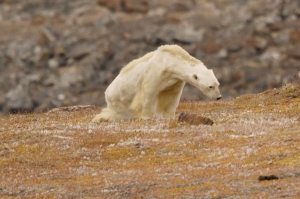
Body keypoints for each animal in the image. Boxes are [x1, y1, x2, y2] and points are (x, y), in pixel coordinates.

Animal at [92, 44, 221, 122]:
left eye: (217, 84)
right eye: (210, 86)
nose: (218, 97)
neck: (170, 61)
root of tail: (106, 93)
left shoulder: (175, 79)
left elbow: (170, 95)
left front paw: (168, 116)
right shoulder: (156, 71)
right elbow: (148, 92)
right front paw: (147, 116)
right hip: (119, 101)